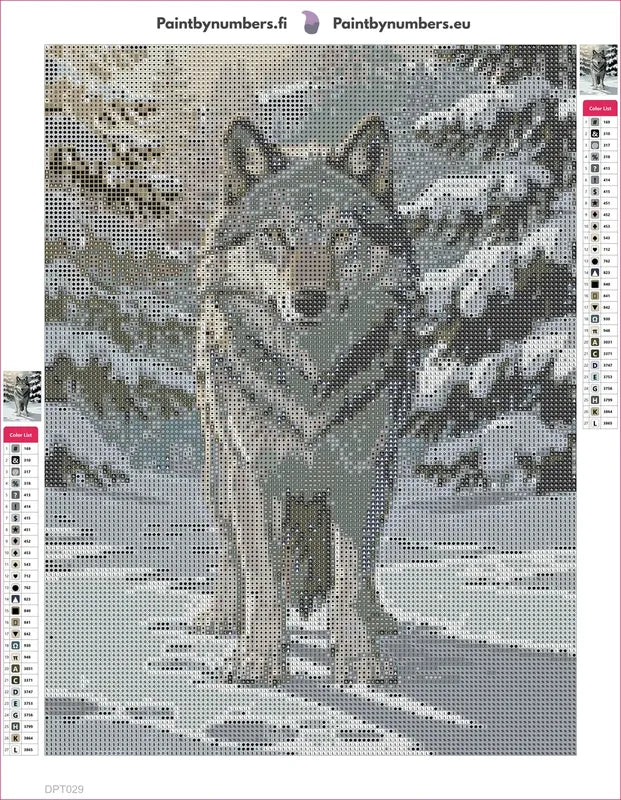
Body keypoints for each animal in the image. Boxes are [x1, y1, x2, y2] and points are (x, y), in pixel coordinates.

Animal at [194, 116, 415, 683]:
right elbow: (262, 574)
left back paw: (378, 618)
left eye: (341, 236)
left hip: (386, 474)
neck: (309, 380)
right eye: (276, 237)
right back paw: (222, 615)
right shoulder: (253, 474)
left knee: (363, 570)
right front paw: (258, 660)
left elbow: (352, 575)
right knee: (230, 553)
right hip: (217, 466)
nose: (308, 300)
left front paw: (359, 660)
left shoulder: (360, 473)